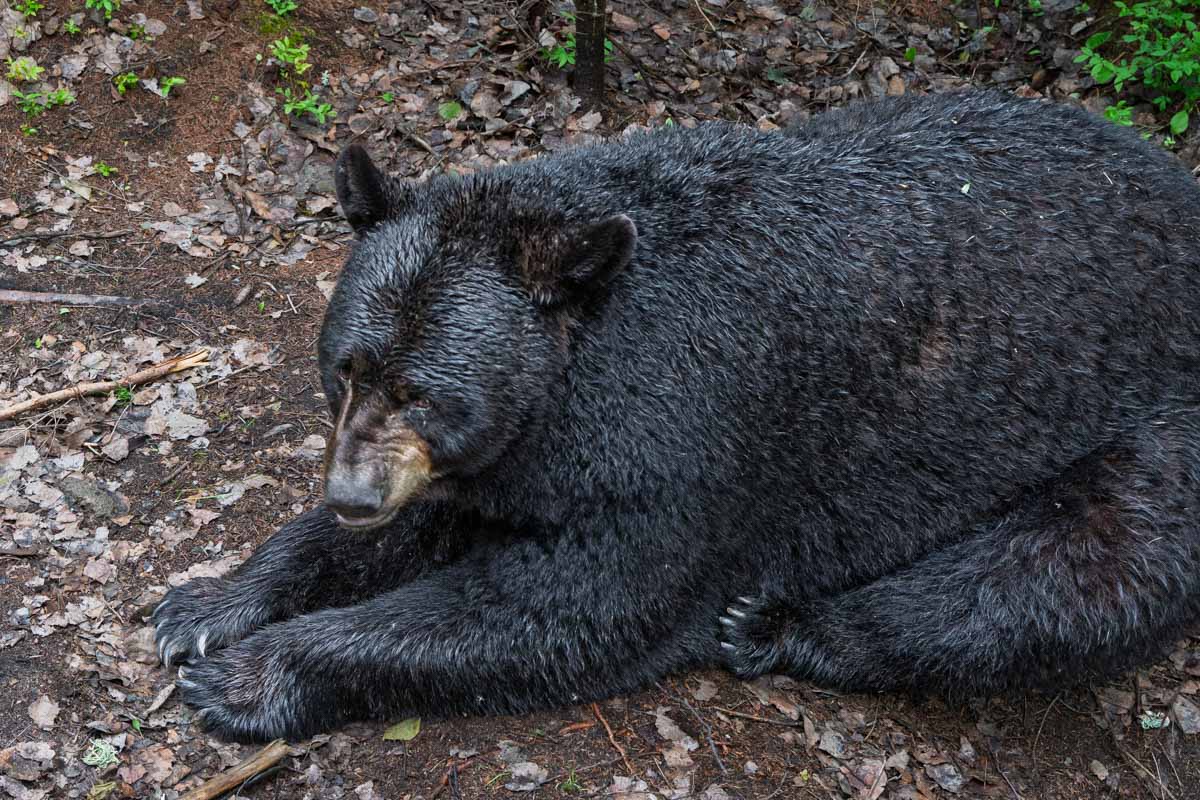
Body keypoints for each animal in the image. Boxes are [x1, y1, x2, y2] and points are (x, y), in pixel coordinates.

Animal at [153, 90, 1200, 742]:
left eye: (425, 393)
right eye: (347, 370)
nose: (353, 494)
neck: (583, 356)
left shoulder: (693, 436)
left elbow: (572, 604)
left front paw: (249, 676)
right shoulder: (513, 448)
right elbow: (451, 517)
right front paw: (209, 603)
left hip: (1158, 418)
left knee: (1068, 571)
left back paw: (782, 625)